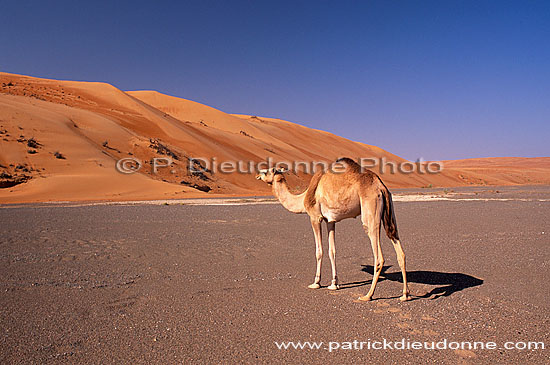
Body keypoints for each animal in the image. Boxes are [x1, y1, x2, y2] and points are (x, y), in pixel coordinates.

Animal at [258, 158, 410, 300]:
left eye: (266, 171)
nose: (257, 175)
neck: (304, 197)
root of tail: (380, 186)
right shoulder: (330, 220)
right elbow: (332, 251)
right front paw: (334, 284)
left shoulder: (315, 217)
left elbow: (319, 251)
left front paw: (316, 283)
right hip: (389, 213)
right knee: (399, 248)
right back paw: (405, 295)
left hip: (370, 212)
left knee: (379, 257)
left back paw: (368, 295)